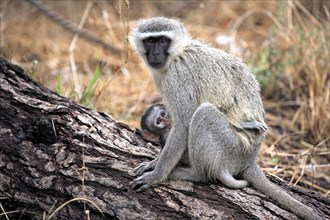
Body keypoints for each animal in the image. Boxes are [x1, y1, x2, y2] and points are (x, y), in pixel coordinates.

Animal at [128, 17, 320, 220]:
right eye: (150, 41)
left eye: (163, 40)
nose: (156, 53)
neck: (176, 54)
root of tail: (249, 159)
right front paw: (153, 163)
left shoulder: (177, 77)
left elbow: (182, 125)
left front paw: (157, 175)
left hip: (234, 148)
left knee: (204, 114)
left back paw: (196, 174)